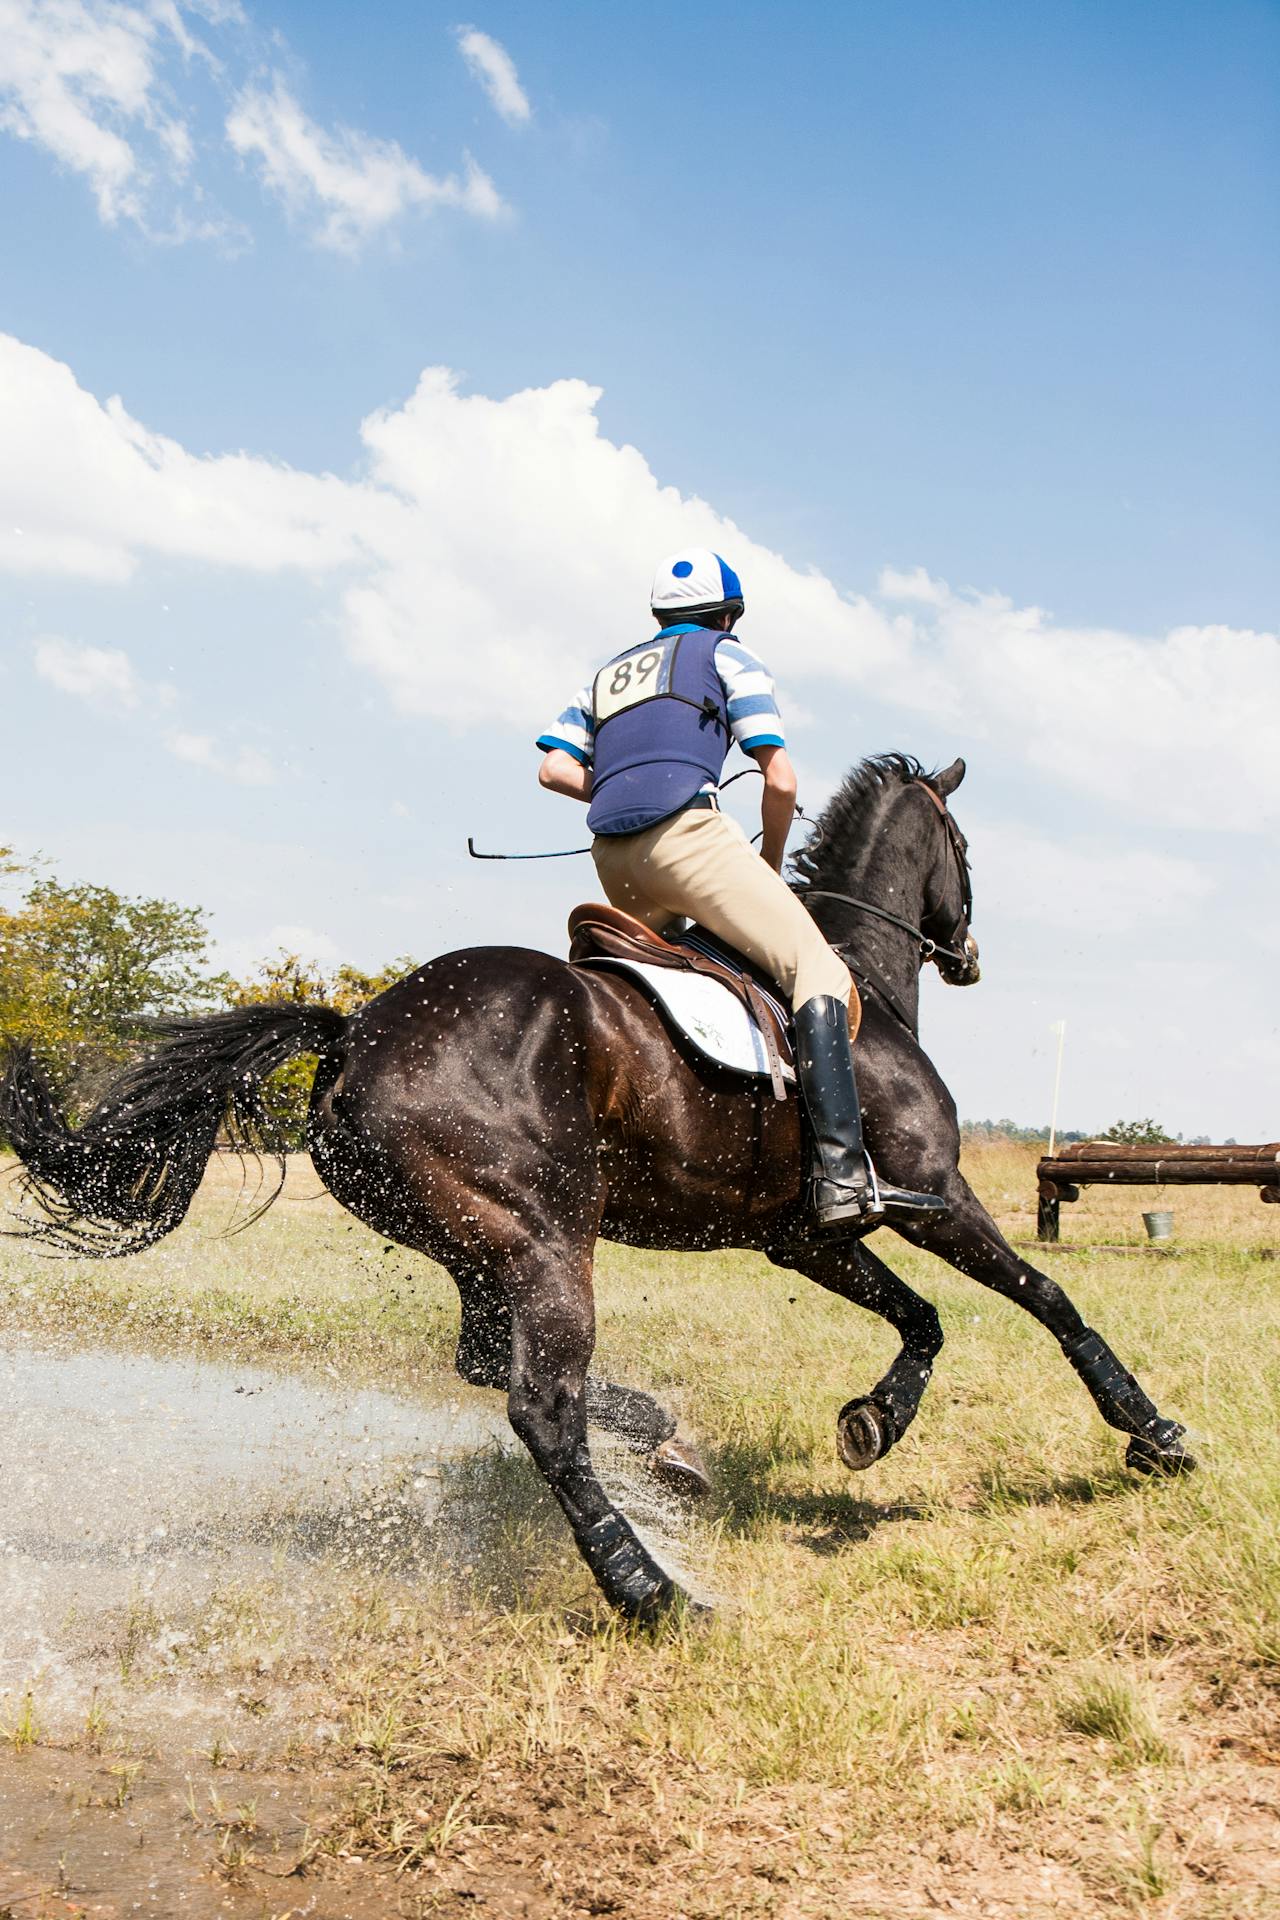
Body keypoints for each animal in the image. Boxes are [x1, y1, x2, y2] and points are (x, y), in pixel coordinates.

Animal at [5, 752, 1197, 1620]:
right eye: (962, 849)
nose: (969, 953)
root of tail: (355, 1035)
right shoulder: (933, 1193)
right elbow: (1045, 1298)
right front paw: (1150, 1433)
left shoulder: (804, 1234)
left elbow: (922, 1318)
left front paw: (874, 1421)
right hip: (544, 1241)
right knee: (542, 1407)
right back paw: (650, 1590)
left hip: (478, 1242)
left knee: (492, 1363)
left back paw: (666, 1450)